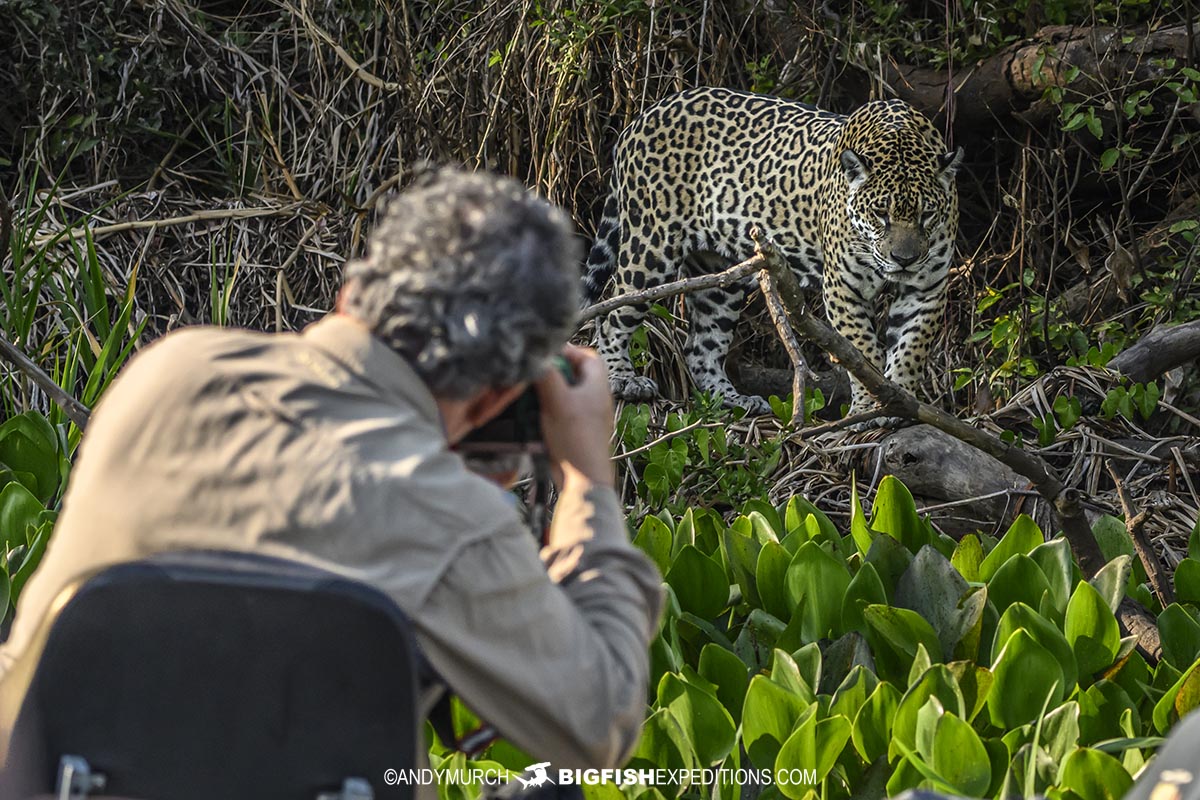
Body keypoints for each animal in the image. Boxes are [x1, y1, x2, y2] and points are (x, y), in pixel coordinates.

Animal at [581, 87, 963, 419]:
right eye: (880, 214)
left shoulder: (926, 288)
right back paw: (624, 380)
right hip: (650, 247)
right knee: (611, 313)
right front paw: (873, 407)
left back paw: (734, 399)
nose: (904, 260)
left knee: (701, 347)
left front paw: (902, 404)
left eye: (927, 214)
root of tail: (640, 118)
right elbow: (863, 353)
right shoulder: (844, 288)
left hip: (719, 275)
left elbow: (910, 348)